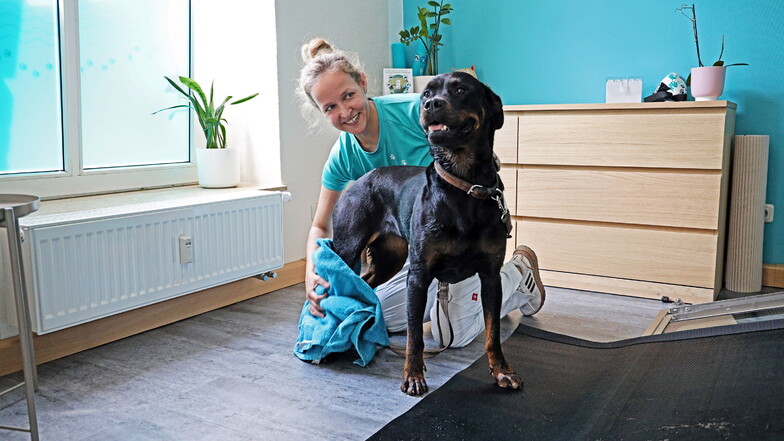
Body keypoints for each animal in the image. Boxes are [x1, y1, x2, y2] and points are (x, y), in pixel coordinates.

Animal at [330, 72, 520, 396]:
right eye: (427, 93)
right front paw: (413, 376)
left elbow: (493, 331)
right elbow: (415, 335)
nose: (432, 104)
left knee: (367, 282)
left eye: (461, 89)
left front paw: (501, 371)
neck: (463, 186)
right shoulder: (417, 276)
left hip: (389, 258)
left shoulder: (490, 276)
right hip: (348, 246)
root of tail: (356, 184)